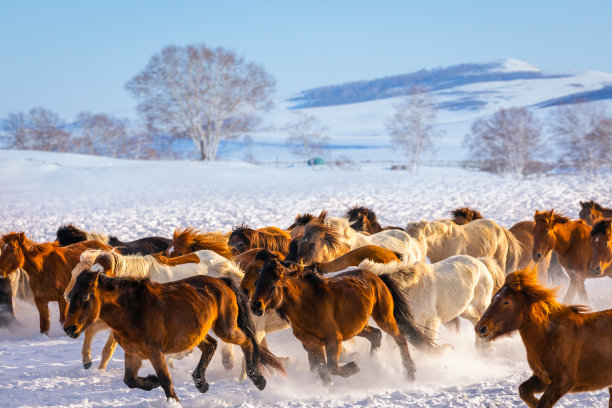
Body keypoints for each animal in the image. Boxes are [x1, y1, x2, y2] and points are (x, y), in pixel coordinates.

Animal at [65, 270, 286, 402]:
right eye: (70, 296)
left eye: (84, 297)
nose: (69, 328)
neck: (132, 312)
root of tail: (222, 282)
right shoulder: (132, 353)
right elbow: (130, 380)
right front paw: (151, 380)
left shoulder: (155, 353)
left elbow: (166, 381)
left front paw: (170, 398)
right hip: (196, 334)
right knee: (211, 346)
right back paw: (201, 383)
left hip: (226, 328)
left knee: (247, 342)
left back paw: (258, 379)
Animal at [249, 252, 436, 386]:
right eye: (256, 282)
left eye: (272, 284)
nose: (255, 306)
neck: (307, 305)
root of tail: (378, 277)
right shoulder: (311, 344)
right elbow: (323, 371)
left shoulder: (333, 340)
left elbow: (331, 367)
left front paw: (353, 368)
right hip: (357, 326)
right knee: (375, 335)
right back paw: (374, 362)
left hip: (384, 317)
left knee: (400, 337)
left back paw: (410, 373)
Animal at [358, 255, 502, 342]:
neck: (410, 289)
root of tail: (481, 262)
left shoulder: (431, 321)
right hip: (464, 309)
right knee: (476, 321)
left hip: (482, 304)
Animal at [476, 266, 612, 406]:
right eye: (492, 298)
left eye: (506, 302)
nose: (480, 328)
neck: (551, 337)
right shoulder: (543, 379)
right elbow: (523, 390)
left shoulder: (563, 382)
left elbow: (542, 403)